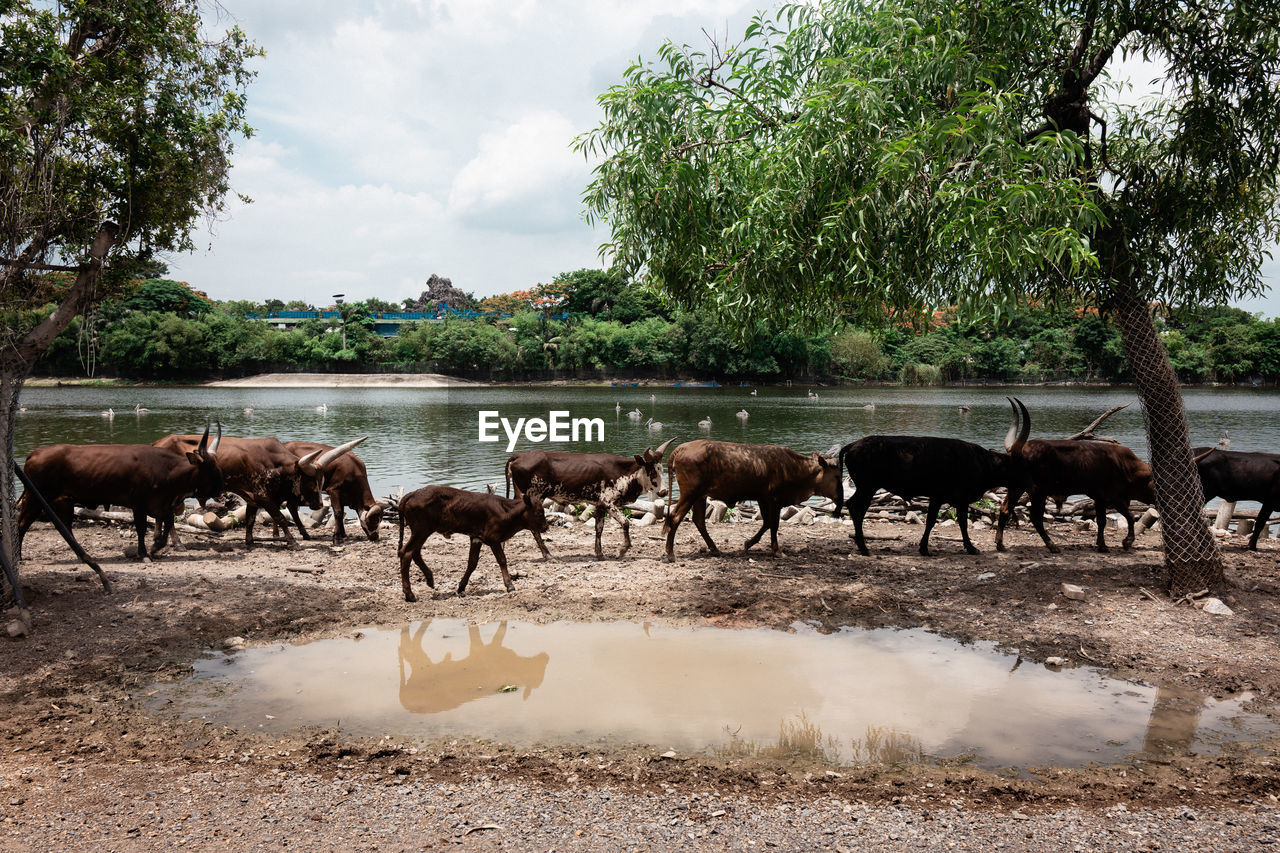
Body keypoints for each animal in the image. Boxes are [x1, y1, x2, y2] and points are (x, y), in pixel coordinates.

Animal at [19, 422, 222, 558]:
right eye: (211, 469)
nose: (221, 489)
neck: (165, 469)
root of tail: (35, 453)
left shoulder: (161, 504)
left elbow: (166, 525)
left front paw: (155, 547)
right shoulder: (139, 503)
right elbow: (142, 528)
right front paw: (144, 553)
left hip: (61, 501)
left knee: (64, 526)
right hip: (36, 497)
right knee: (23, 523)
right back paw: (19, 557)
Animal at [156, 432, 366, 545]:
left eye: (322, 480)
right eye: (310, 480)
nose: (318, 504)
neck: (274, 463)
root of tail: (158, 443)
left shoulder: (253, 497)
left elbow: (250, 520)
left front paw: (249, 541)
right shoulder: (264, 496)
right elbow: (280, 517)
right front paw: (292, 541)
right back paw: (176, 543)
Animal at [665, 438, 844, 558]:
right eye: (837, 476)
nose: (840, 498)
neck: (792, 467)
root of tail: (682, 447)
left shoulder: (763, 498)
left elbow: (767, 523)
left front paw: (748, 543)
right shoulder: (775, 500)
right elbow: (773, 524)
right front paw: (777, 551)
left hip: (700, 496)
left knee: (698, 520)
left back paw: (714, 549)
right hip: (690, 493)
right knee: (675, 517)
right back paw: (670, 553)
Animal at [834, 409, 1034, 555]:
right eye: (1020, 465)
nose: (1029, 482)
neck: (981, 461)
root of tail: (852, 445)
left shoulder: (952, 500)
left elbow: (952, 521)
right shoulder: (944, 498)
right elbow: (938, 521)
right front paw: (965, 548)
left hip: (866, 487)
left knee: (853, 506)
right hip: (868, 487)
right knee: (856, 508)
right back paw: (864, 548)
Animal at [993, 399, 1157, 550]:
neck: (1127, 467)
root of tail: (1018, 452)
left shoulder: (1101, 498)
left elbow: (1110, 519)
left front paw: (1106, 543)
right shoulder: (1112, 497)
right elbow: (1125, 517)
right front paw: (1119, 543)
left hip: (1017, 488)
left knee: (1005, 509)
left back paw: (1000, 543)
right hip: (1038, 492)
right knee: (1035, 517)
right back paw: (1051, 545)